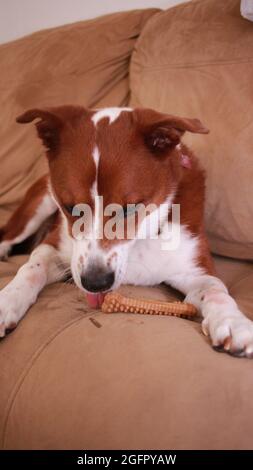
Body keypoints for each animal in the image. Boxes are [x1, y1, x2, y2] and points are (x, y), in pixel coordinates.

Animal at [0, 105, 253, 356]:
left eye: (129, 209)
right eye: (70, 208)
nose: (95, 283)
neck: (139, 241)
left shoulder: (195, 267)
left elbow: (215, 289)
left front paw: (232, 321)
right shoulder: (56, 246)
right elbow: (32, 267)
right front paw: (8, 299)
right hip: (38, 205)